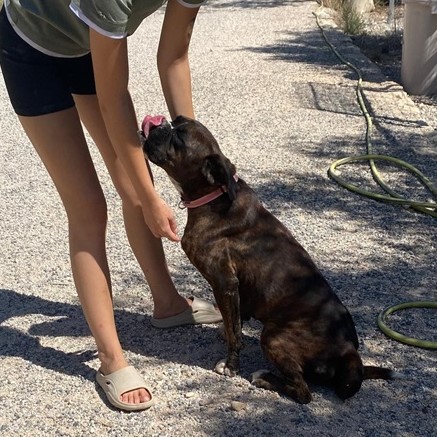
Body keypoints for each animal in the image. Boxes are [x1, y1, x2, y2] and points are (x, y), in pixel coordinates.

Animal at [140, 115, 395, 403]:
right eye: (176, 122)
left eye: (179, 138)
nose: (160, 123)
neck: (215, 196)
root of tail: (348, 354)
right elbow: (235, 322)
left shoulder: (224, 282)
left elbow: (234, 332)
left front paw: (231, 365)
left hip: (273, 336)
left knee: (304, 393)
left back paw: (264, 378)